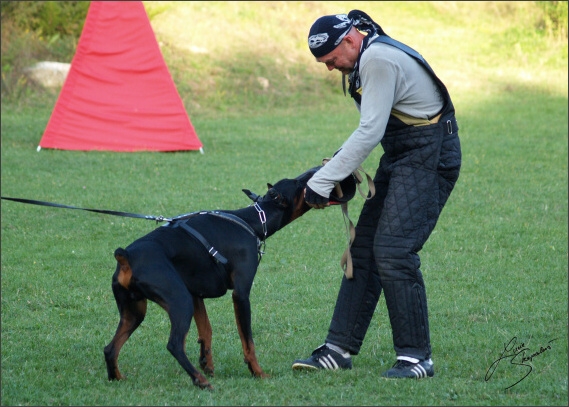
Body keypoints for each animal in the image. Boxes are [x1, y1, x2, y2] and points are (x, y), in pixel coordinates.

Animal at [103, 170, 320, 392]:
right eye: (297, 183)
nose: (313, 170)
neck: (255, 221)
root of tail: (126, 256)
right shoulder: (240, 295)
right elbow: (248, 341)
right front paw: (258, 373)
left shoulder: (195, 294)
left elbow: (206, 329)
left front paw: (207, 363)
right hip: (180, 302)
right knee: (174, 345)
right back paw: (200, 380)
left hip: (134, 311)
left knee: (110, 349)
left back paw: (117, 377)